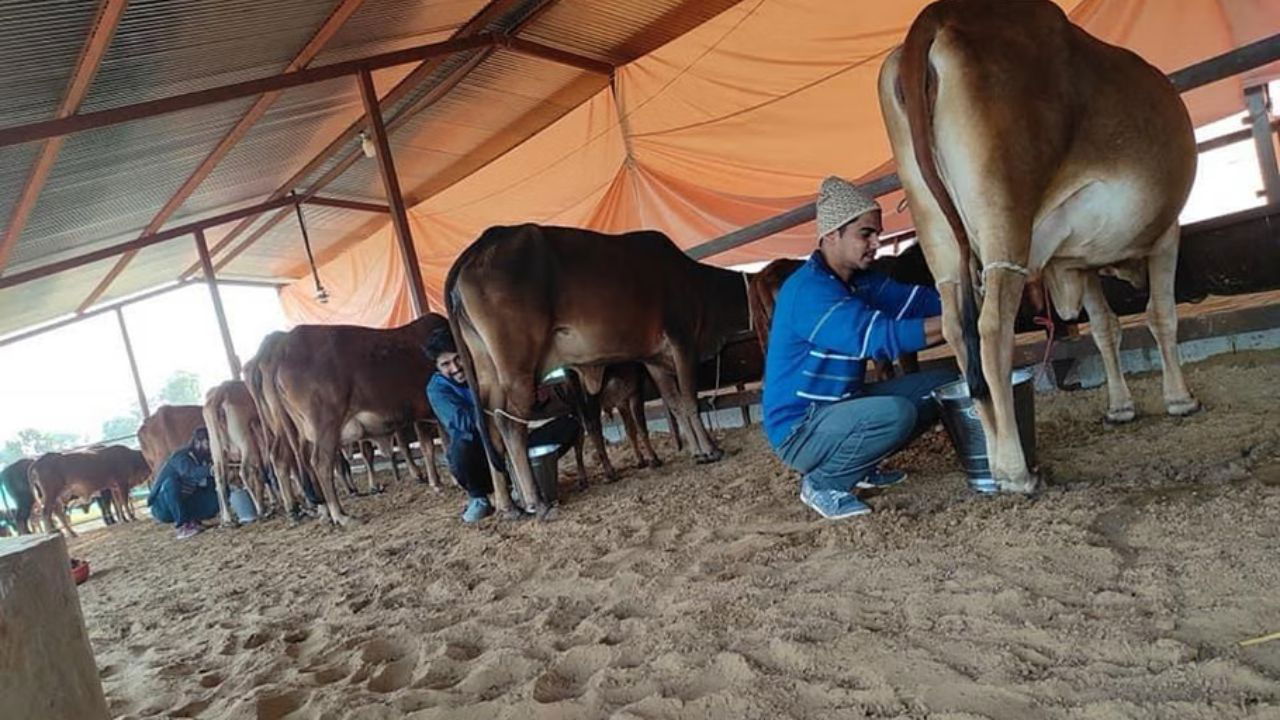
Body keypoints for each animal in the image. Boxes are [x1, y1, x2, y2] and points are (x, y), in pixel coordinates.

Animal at [448, 222, 752, 515]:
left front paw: (697, 452)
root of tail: (482, 243)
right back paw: (537, 502)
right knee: (510, 424)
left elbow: (675, 404)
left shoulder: (654, 359)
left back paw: (508, 505)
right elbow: (690, 401)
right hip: (516, 368)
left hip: (488, 370)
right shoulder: (682, 339)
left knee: (488, 426)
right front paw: (711, 450)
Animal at [880, 0, 1198, 491]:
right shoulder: (1167, 231)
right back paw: (1014, 470)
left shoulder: (1079, 260)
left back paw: (992, 458)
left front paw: (1120, 407)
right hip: (1004, 214)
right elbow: (1160, 315)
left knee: (957, 331)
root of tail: (938, 13)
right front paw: (1179, 399)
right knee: (992, 328)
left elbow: (1105, 327)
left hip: (936, 233)